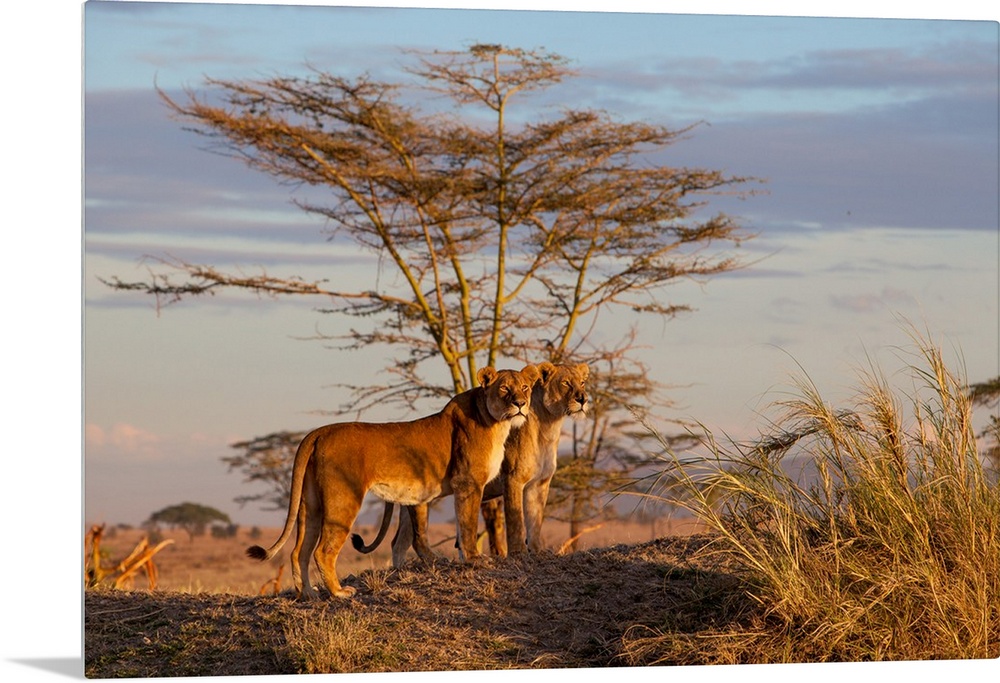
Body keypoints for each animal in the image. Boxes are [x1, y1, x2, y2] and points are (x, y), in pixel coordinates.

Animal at [246, 365, 540, 599]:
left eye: (525, 387)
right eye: (504, 388)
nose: (520, 404)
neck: (497, 423)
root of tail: (319, 431)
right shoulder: (467, 483)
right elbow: (466, 526)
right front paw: (474, 560)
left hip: (311, 504)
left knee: (299, 551)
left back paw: (308, 593)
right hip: (344, 499)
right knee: (323, 550)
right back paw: (339, 592)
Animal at [353, 361, 589, 565]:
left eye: (582, 383)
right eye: (566, 383)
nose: (583, 399)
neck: (548, 427)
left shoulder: (539, 484)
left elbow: (536, 520)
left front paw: (538, 550)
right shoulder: (513, 479)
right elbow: (516, 521)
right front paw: (519, 554)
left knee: (398, 543)